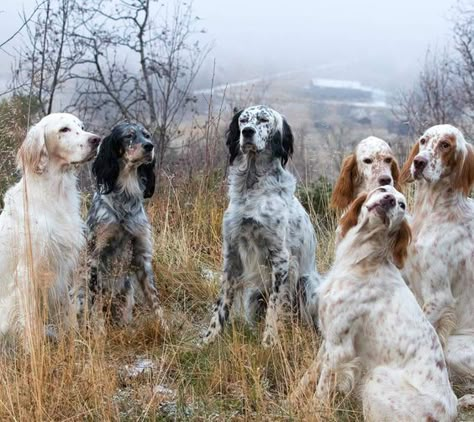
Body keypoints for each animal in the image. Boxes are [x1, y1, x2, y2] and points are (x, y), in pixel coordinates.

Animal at [0, 113, 99, 346]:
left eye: (82, 127)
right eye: (64, 129)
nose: (96, 140)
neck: (55, 194)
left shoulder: (65, 266)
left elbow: (68, 310)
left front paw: (73, 339)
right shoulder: (27, 271)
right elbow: (30, 321)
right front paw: (32, 348)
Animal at [85, 122, 165, 326]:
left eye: (147, 135)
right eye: (129, 136)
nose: (150, 146)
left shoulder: (142, 253)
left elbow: (155, 301)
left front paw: (165, 328)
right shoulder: (96, 255)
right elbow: (96, 303)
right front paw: (99, 330)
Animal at [202, 104, 320, 346]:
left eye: (264, 120)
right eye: (243, 120)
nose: (247, 132)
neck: (252, 183)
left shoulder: (281, 257)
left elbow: (275, 305)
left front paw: (269, 341)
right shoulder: (232, 251)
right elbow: (222, 302)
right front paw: (209, 339)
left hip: (306, 284)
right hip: (254, 294)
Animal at [294, 187, 458, 422]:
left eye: (402, 204)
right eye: (383, 190)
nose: (389, 200)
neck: (363, 262)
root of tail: (451, 409)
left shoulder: (340, 349)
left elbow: (321, 389)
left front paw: (311, 411)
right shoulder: (330, 338)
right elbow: (309, 375)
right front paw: (291, 400)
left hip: (375, 378)